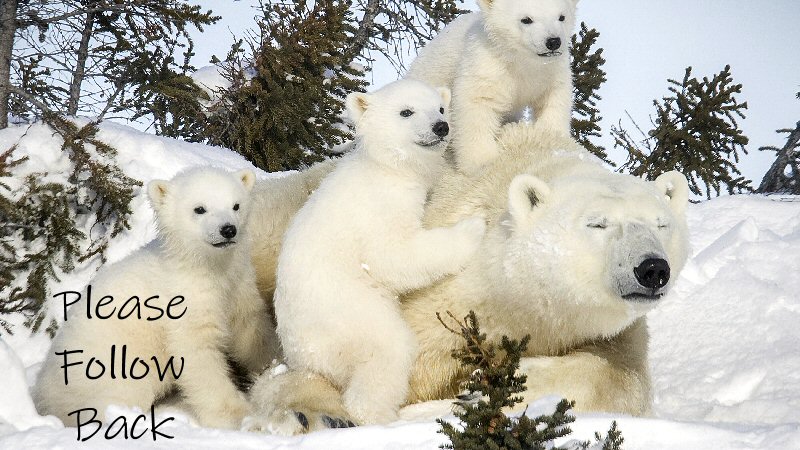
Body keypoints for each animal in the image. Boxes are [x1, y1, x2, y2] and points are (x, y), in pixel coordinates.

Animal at [33, 167, 279, 429]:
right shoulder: (182, 301)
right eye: (199, 209)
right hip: (110, 367)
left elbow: (250, 327)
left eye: (236, 205)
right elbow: (197, 353)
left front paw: (274, 363)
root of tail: (43, 391)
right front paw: (238, 415)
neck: (202, 266)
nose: (228, 229)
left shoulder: (238, 284)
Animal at [244, 124, 690, 434]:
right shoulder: (446, 297)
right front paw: (321, 411)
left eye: (661, 223)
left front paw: (484, 386)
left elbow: (622, 377)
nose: (652, 269)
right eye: (597, 224)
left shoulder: (611, 331)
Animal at [272, 79, 487, 426]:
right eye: (406, 111)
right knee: (388, 351)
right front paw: (474, 226)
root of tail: (303, 359)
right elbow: (393, 256)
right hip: (351, 315)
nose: (441, 127)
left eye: (441, 107)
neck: (387, 168)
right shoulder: (378, 208)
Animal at [405, 0, 579, 174]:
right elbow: (477, 104)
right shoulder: (487, 66)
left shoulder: (551, 72)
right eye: (526, 19)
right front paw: (481, 161)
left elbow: (553, 100)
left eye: (562, 17)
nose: (553, 41)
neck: (520, 61)